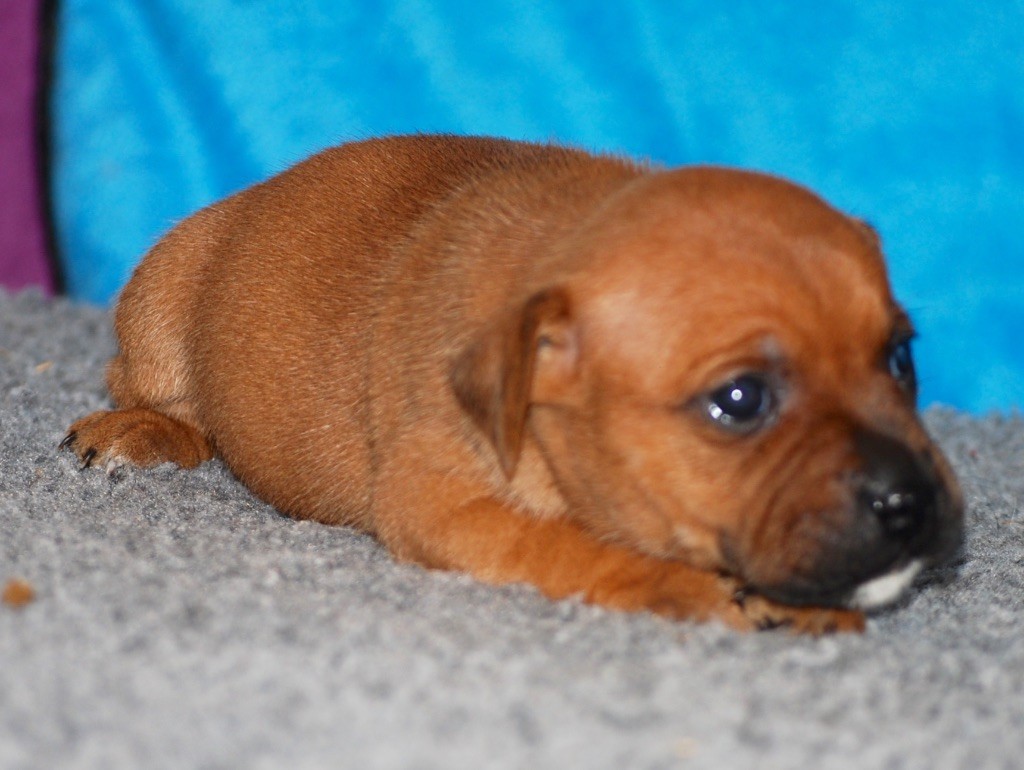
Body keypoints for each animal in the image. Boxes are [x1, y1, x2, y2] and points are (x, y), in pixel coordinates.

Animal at [62, 134, 963, 633]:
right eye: (739, 401)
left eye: (900, 359)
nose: (910, 500)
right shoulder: (446, 508)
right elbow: (570, 545)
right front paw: (688, 588)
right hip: (162, 303)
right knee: (156, 396)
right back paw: (140, 431)